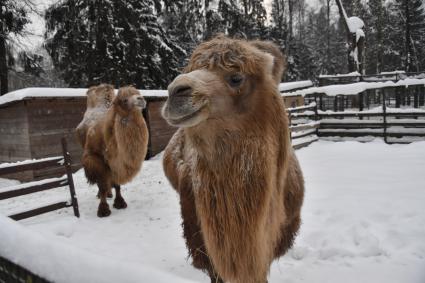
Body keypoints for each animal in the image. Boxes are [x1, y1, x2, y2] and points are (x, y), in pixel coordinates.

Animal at [80, 86, 148, 217]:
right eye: (124, 100)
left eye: (138, 92)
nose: (141, 99)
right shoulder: (96, 159)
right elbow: (101, 185)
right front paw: (103, 210)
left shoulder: (116, 164)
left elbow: (117, 184)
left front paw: (120, 202)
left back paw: (109, 193)